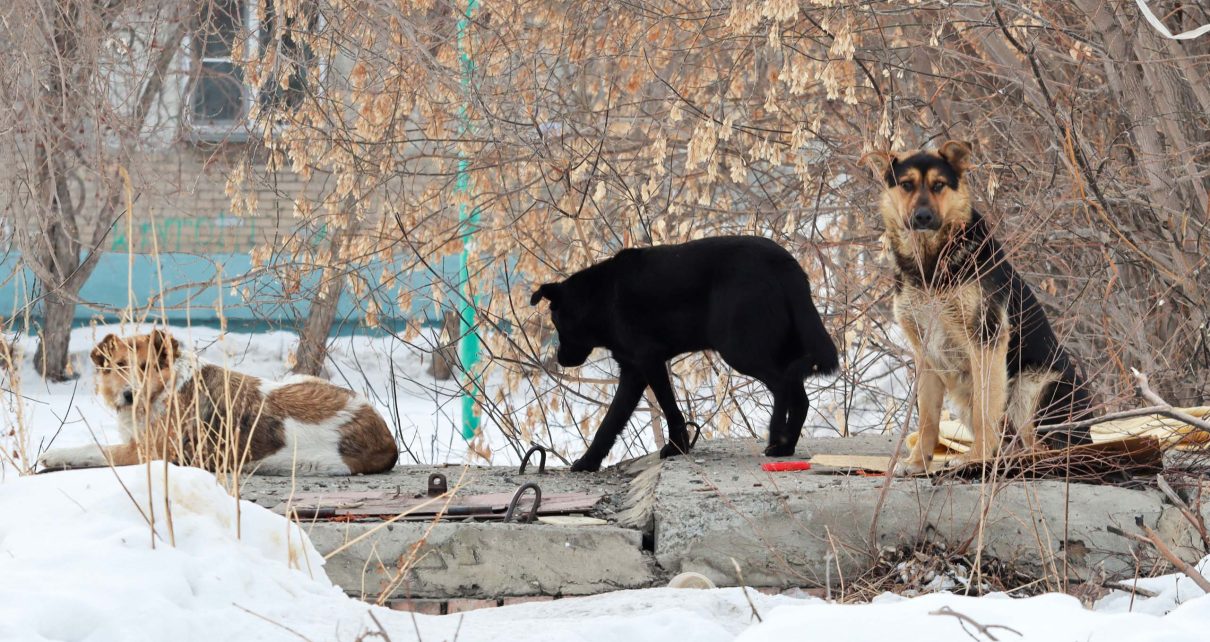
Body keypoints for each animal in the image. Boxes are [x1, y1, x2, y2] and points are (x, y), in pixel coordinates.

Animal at [36, 331, 396, 476]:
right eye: (121, 365)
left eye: (148, 367)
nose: (129, 395)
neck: (166, 389)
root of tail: (387, 441)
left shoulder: (149, 452)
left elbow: (92, 448)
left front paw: (54, 455)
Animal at [532, 235, 842, 471]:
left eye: (556, 323)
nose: (560, 359)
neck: (600, 298)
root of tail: (786, 264)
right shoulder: (632, 370)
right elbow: (611, 421)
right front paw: (589, 462)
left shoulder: (649, 360)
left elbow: (669, 408)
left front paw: (676, 447)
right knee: (799, 396)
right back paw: (786, 447)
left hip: (739, 349)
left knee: (781, 386)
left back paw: (776, 439)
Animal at [861, 142, 1098, 471]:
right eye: (906, 185)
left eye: (938, 185)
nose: (922, 217)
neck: (930, 265)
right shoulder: (925, 355)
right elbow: (928, 419)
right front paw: (918, 462)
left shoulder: (986, 341)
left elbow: (985, 411)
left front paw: (977, 458)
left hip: (1029, 386)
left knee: (1046, 448)